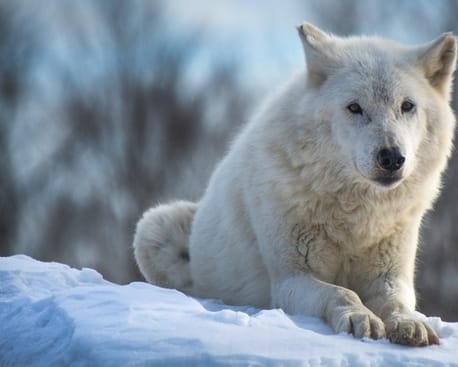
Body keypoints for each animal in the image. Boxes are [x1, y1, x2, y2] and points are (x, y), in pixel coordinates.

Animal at [134, 23, 456, 348]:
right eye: (354, 107)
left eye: (407, 106)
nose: (391, 157)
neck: (356, 217)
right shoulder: (291, 280)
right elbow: (342, 292)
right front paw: (360, 317)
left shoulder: (390, 277)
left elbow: (397, 302)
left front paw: (410, 324)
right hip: (154, 226)